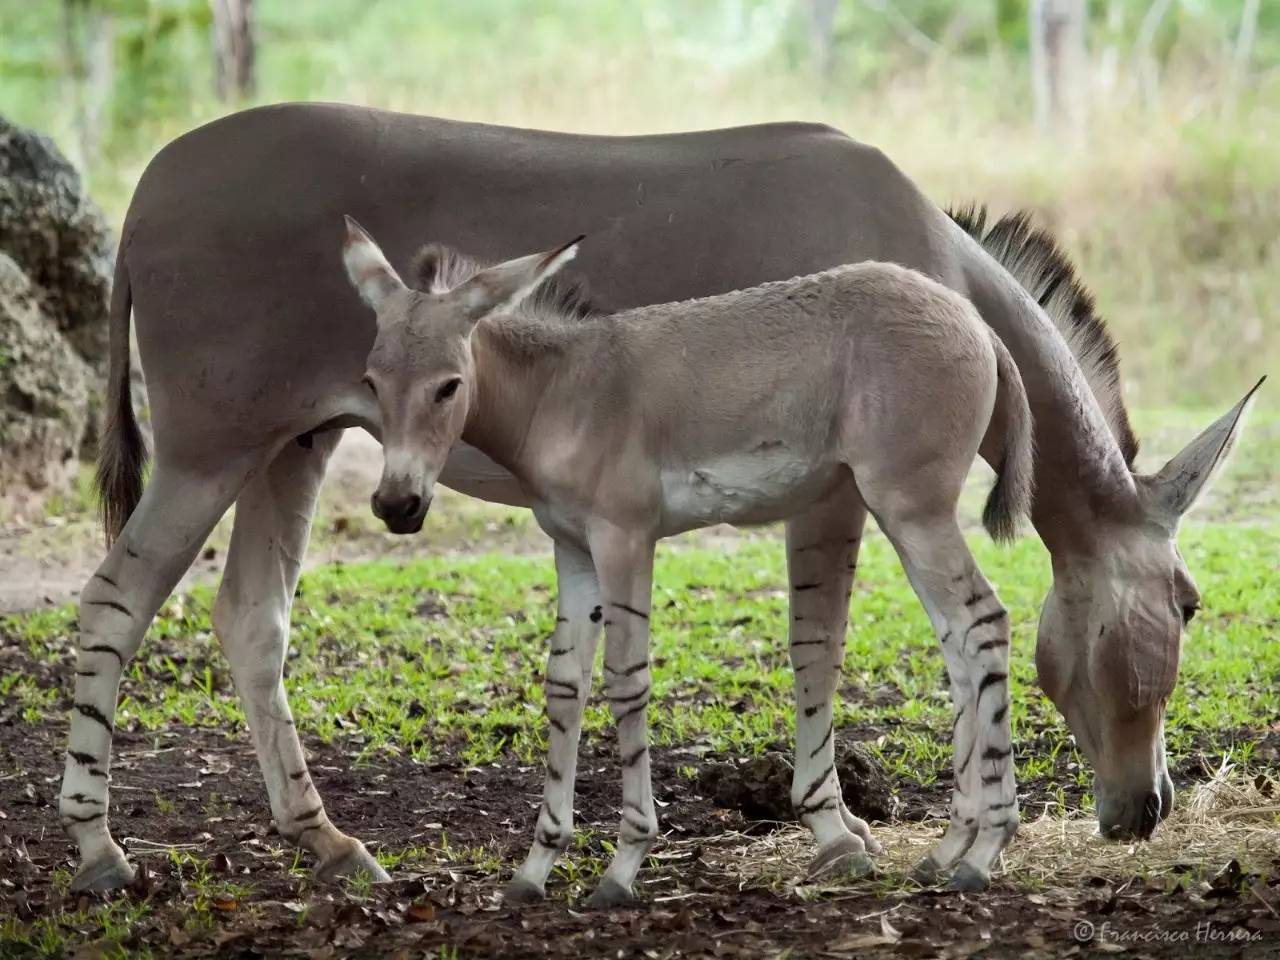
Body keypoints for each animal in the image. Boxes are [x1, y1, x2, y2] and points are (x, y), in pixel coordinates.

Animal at [345, 217, 1034, 901]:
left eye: (448, 387)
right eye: (373, 383)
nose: (396, 505)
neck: (559, 394)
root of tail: (977, 322)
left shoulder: (623, 539)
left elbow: (626, 680)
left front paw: (623, 865)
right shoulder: (573, 550)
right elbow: (565, 686)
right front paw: (535, 868)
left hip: (913, 510)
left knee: (983, 624)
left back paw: (984, 851)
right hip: (904, 516)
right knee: (957, 645)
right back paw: (949, 849)